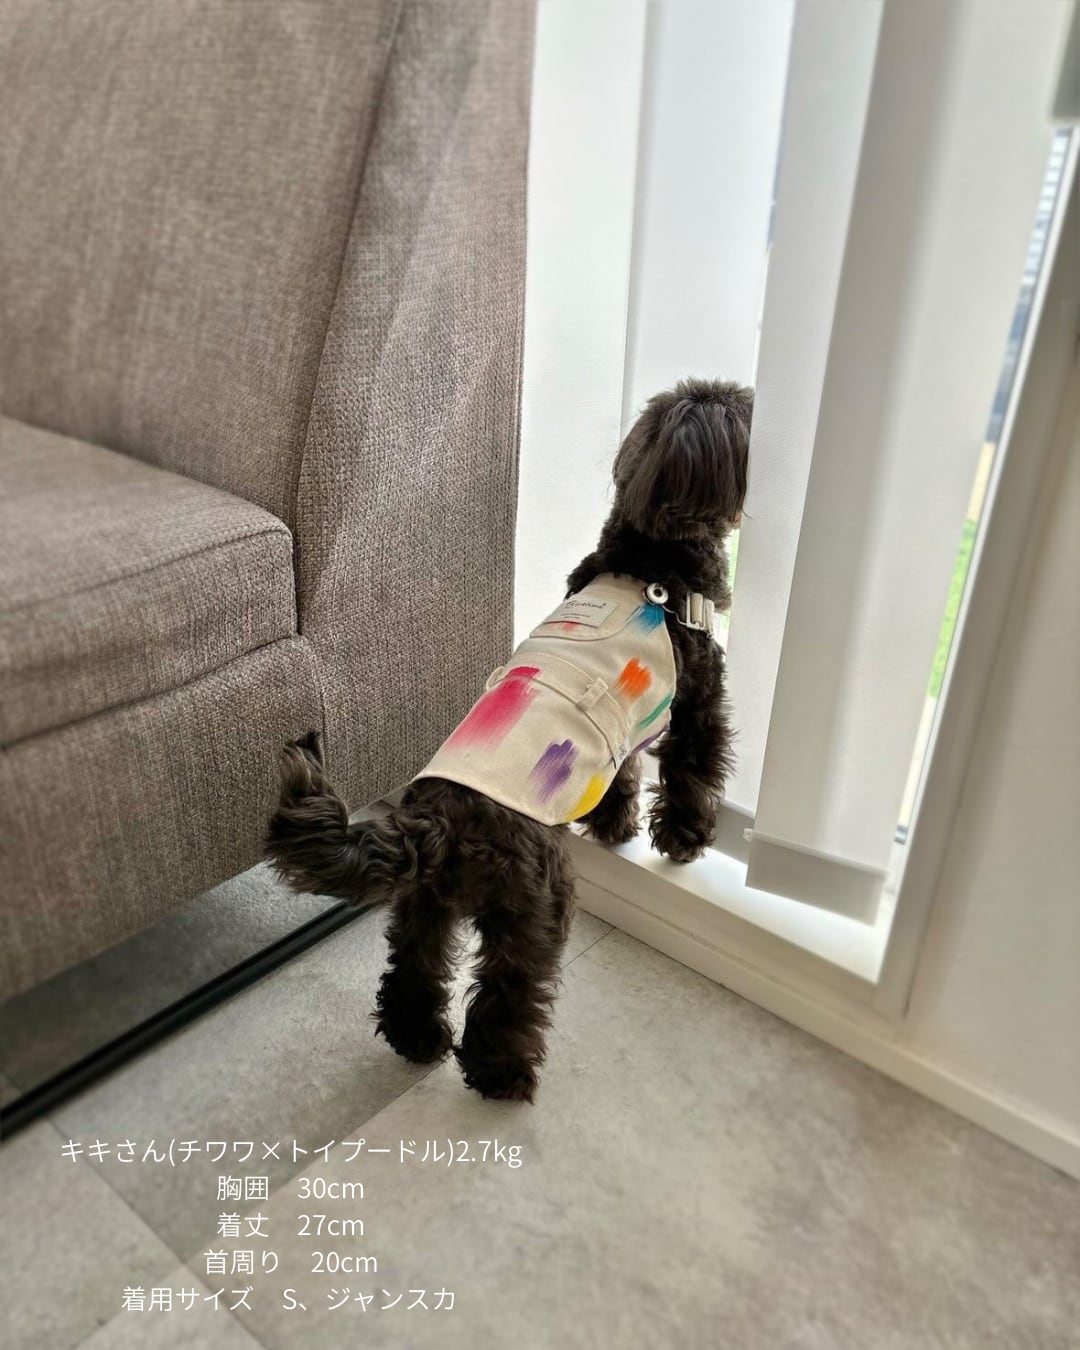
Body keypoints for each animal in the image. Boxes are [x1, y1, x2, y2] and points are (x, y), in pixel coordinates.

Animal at [266, 377, 752, 1102]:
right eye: (737, 410)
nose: (751, 397)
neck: (649, 565)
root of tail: (437, 823)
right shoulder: (697, 703)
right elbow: (692, 771)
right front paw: (684, 839)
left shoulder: (621, 734)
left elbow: (621, 777)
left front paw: (614, 825)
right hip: (534, 905)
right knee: (508, 988)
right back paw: (502, 1073)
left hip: (425, 903)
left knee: (412, 964)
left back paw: (416, 1038)